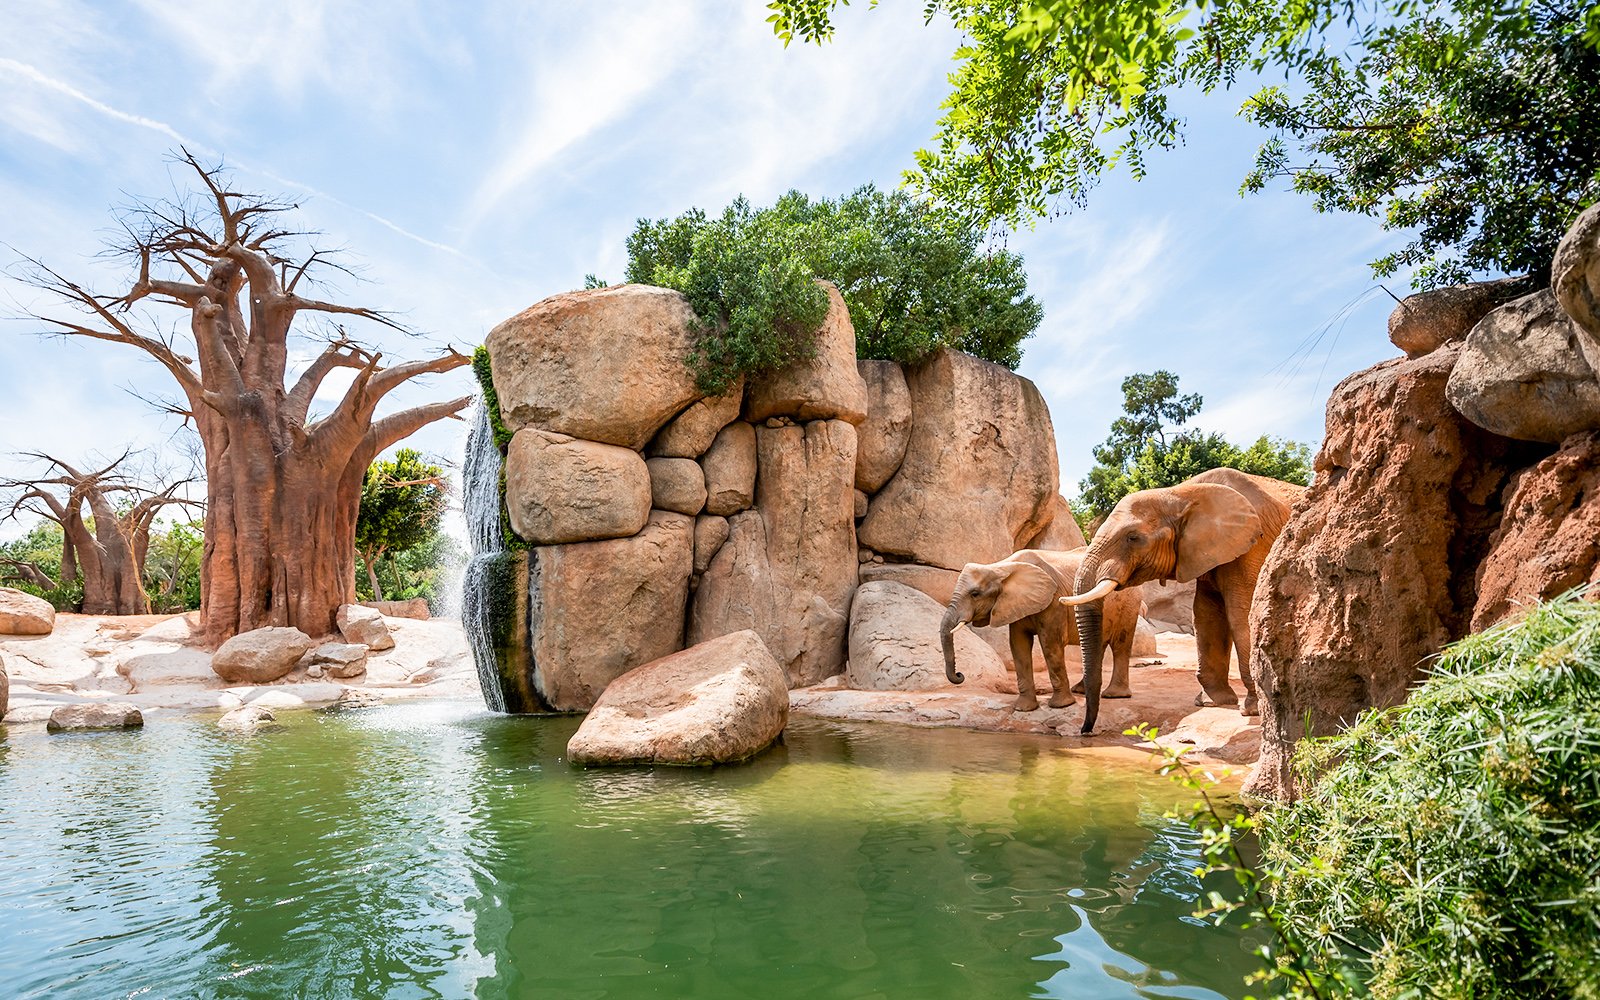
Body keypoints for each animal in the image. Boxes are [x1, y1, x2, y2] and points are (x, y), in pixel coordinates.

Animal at [934, 540, 1152, 713]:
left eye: (975, 594)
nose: (960, 675)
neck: (1002, 567)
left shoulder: (1054, 601)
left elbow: (1050, 645)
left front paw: (1061, 706)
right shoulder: (1015, 603)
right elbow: (1018, 646)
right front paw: (1024, 709)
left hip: (1129, 602)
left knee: (1121, 644)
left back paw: (1114, 695)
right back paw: (1081, 690)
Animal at [1062, 467, 1299, 732]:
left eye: (1132, 538)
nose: (1086, 730)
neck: (1180, 494)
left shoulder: (1254, 545)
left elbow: (1242, 612)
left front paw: (1252, 710)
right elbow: (1206, 615)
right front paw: (1211, 702)